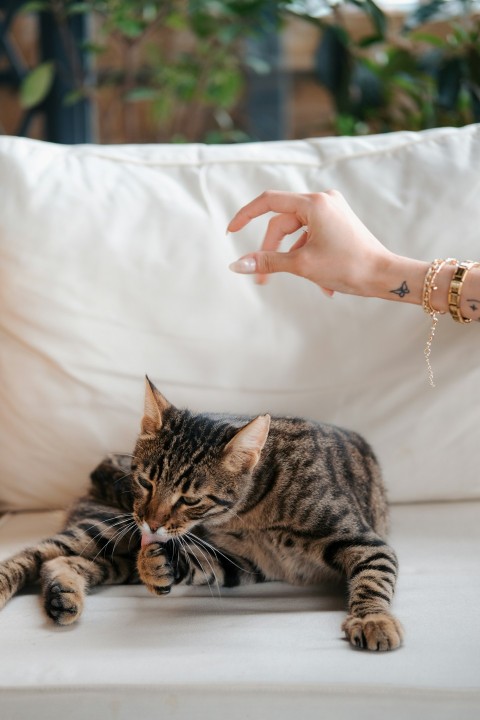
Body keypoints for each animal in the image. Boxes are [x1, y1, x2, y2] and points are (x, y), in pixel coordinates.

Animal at [0, 380, 402, 648]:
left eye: (190, 499)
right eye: (145, 482)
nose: (151, 522)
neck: (251, 511)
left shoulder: (362, 543)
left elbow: (372, 580)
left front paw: (373, 618)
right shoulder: (233, 556)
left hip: (118, 553)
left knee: (63, 562)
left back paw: (63, 595)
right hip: (108, 527)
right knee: (35, 555)